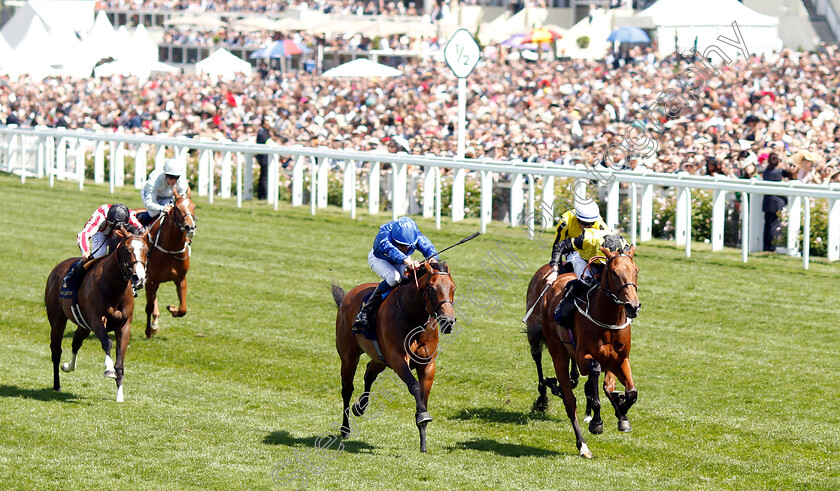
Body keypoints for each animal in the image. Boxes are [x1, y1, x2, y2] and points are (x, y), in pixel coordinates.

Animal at [44, 229, 149, 402]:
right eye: (127, 250)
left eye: (146, 250)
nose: (138, 278)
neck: (114, 287)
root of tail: (57, 269)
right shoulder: (96, 320)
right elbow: (107, 342)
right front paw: (109, 369)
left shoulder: (124, 326)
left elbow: (120, 363)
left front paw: (120, 396)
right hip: (57, 320)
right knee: (56, 350)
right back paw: (57, 385)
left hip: (83, 325)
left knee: (76, 341)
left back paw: (68, 366)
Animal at [144, 190, 199, 340]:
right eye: (177, 208)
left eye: (194, 206)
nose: (190, 227)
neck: (170, 247)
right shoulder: (151, 280)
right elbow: (148, 307)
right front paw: (148, 331)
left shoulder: (181, 279)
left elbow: (183, 309)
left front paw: (172, 308)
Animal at [332, 262, 456, 454]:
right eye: (432, 288)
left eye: (453, 288)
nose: (448, 322)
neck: (413, 318)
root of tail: (348, 297)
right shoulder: (398, 359)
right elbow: (414, 385)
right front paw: (422, 416)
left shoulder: (427, 364)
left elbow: (424, 395)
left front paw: (423, 441)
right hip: (348, 357)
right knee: (347, 389)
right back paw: (345, 429)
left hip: (379, 359)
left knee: (369, 373)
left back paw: (360, 407)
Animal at [524, 248, 644, 460]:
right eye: (614, 273)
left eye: (635, 271)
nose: (633, 306)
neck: (608, 320)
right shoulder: (584, 358)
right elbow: (595, 377)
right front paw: (597, 421)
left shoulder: (620, 361)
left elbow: (631, 392)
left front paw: (621, 412)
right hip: (554, 349)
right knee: (569, 400)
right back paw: (582, 445)